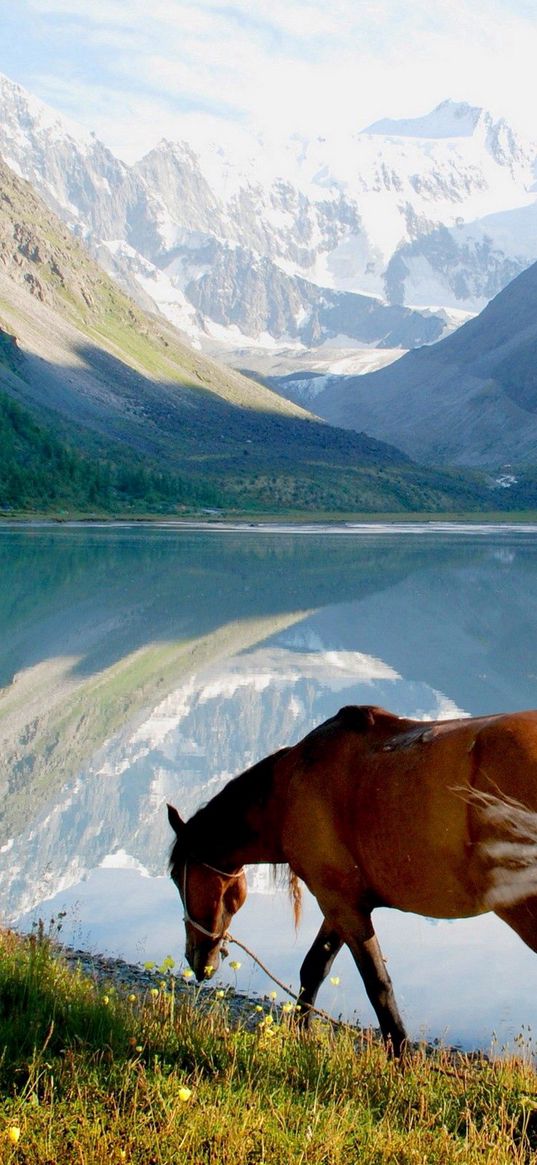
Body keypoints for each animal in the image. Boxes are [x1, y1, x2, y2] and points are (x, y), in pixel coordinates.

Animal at [168, 699, 537, 1057]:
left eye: (174, 876)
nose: (196, 960)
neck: (289, 788)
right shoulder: (341, 904)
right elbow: (314, 968)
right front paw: (301, 1038)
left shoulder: (341, 905)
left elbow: (377, 985)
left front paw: (400, 1060)